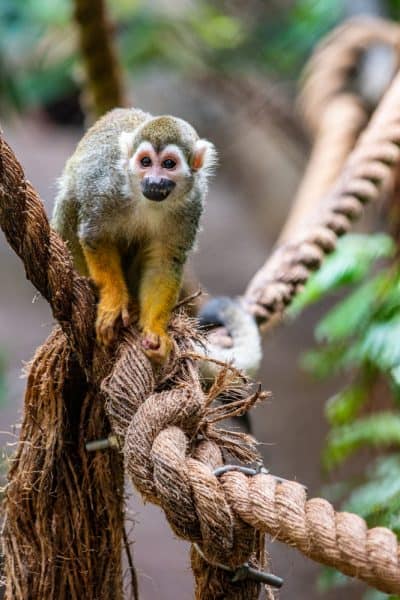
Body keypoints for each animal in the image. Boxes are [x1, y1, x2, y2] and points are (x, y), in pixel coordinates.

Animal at [53, 107, 217, 360]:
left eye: (169, 164)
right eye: (146, 162)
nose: (154, 181)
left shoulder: (193, 203)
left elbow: (164, 261)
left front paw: (155, 331)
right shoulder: (106, 185)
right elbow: (95, 236)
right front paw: (113, 302)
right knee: (71, 200)